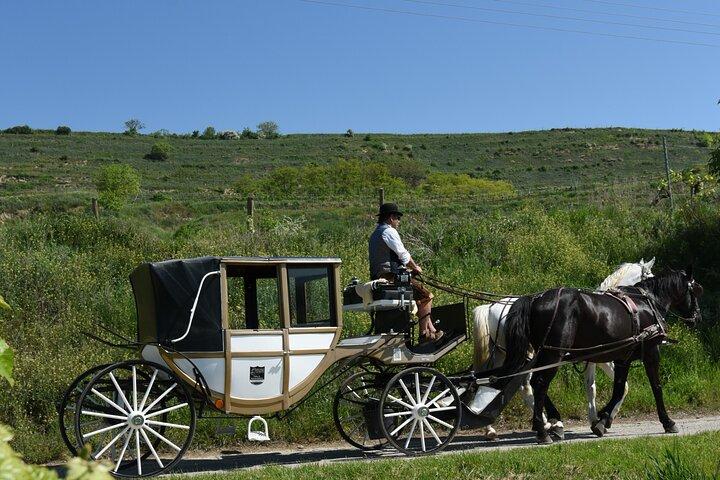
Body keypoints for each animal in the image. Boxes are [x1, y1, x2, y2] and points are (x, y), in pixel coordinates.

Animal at [471, 258, 655, 438]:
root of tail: (490, 308)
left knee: (493, 381)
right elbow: (623, 388)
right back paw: (547, 423)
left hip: (504, 356)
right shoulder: (607, 358)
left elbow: (591, 387)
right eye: (650, 276)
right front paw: (605, 419)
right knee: (527, 385)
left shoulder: (591, 359)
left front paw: (595, 419)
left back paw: (492, 428)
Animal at [502, 267, 703, 443]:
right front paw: (668, 422)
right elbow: (656, 387)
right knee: (540, 383)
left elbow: (619, 389)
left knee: (534, 382)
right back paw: (544, 430)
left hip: (544, 354)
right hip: (553, 354)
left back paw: (551, 424)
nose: (697, 318)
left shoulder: (623, 358)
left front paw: (602, 420)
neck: (648, 303)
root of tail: (535, 299)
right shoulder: (651, 353)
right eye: (695, 290)